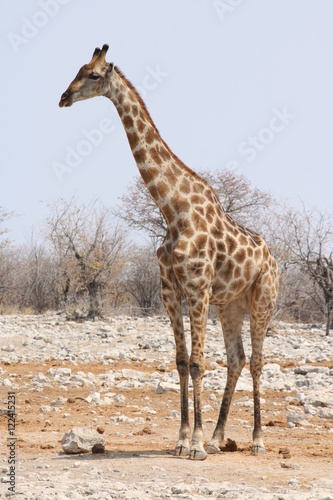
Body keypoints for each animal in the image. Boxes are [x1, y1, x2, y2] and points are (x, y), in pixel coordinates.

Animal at [59, 46, 278, 460]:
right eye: (78, 69)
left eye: (93, 74)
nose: (63, 97)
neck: (173, 209)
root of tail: (274, 260)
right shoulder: (169, 291)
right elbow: (179, 362)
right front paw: (183, 439)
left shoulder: (198, 288)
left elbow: (196, 363)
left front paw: (195, 445)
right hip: (231, 304)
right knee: (237, 359)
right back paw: (218, 437)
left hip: (263, 300)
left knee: (257, 361)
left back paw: (257, 440)